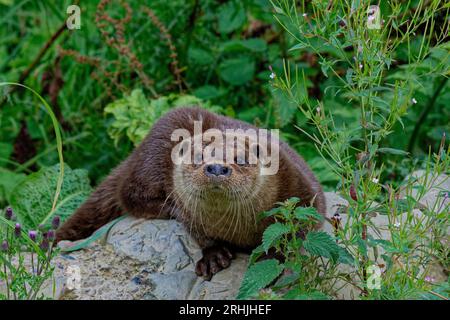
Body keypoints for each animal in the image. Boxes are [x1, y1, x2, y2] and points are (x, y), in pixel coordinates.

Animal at [56, 107, 326, 278]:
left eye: (241, 159)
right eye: (198, 157)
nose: (216, 167)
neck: (240, 229)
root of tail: (135, 153)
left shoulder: (301, 187)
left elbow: (299, 228)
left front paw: (271, 257)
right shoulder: (191, 213)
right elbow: (198, 232)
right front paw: (214, 255)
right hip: (156, 149)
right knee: (128, 191)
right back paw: (167, 209)